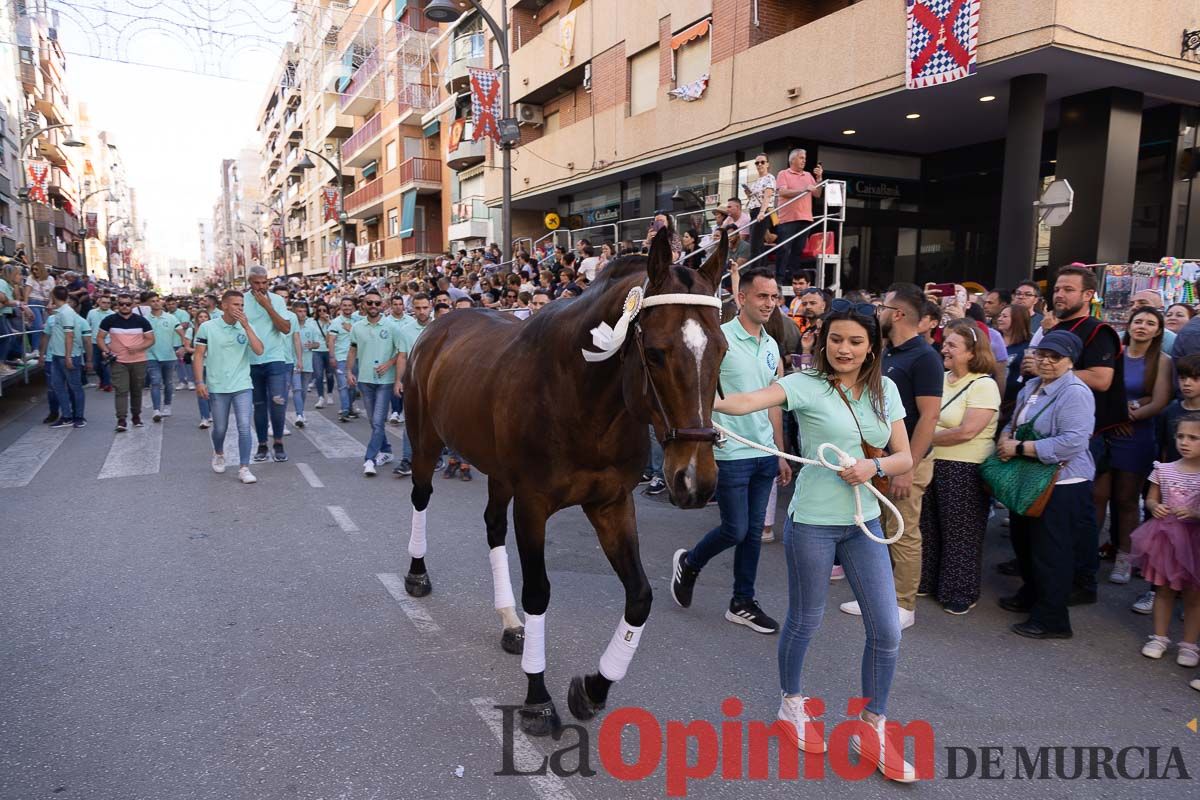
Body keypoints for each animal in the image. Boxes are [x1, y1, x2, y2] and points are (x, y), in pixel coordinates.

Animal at [398, 230, 724, 734]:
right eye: (655, 353)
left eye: (723, 349)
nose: (695, 479)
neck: (581, 397)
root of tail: (440, 322)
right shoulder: (533, 503)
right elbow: (539, 593)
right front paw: (538, 698)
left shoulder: (612, 503)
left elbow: (640, 595)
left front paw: (593, 687)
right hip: (426, 440)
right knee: (421, 496)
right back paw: (418, 574)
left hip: (498, 472)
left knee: (493, 526)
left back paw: (509, 622)